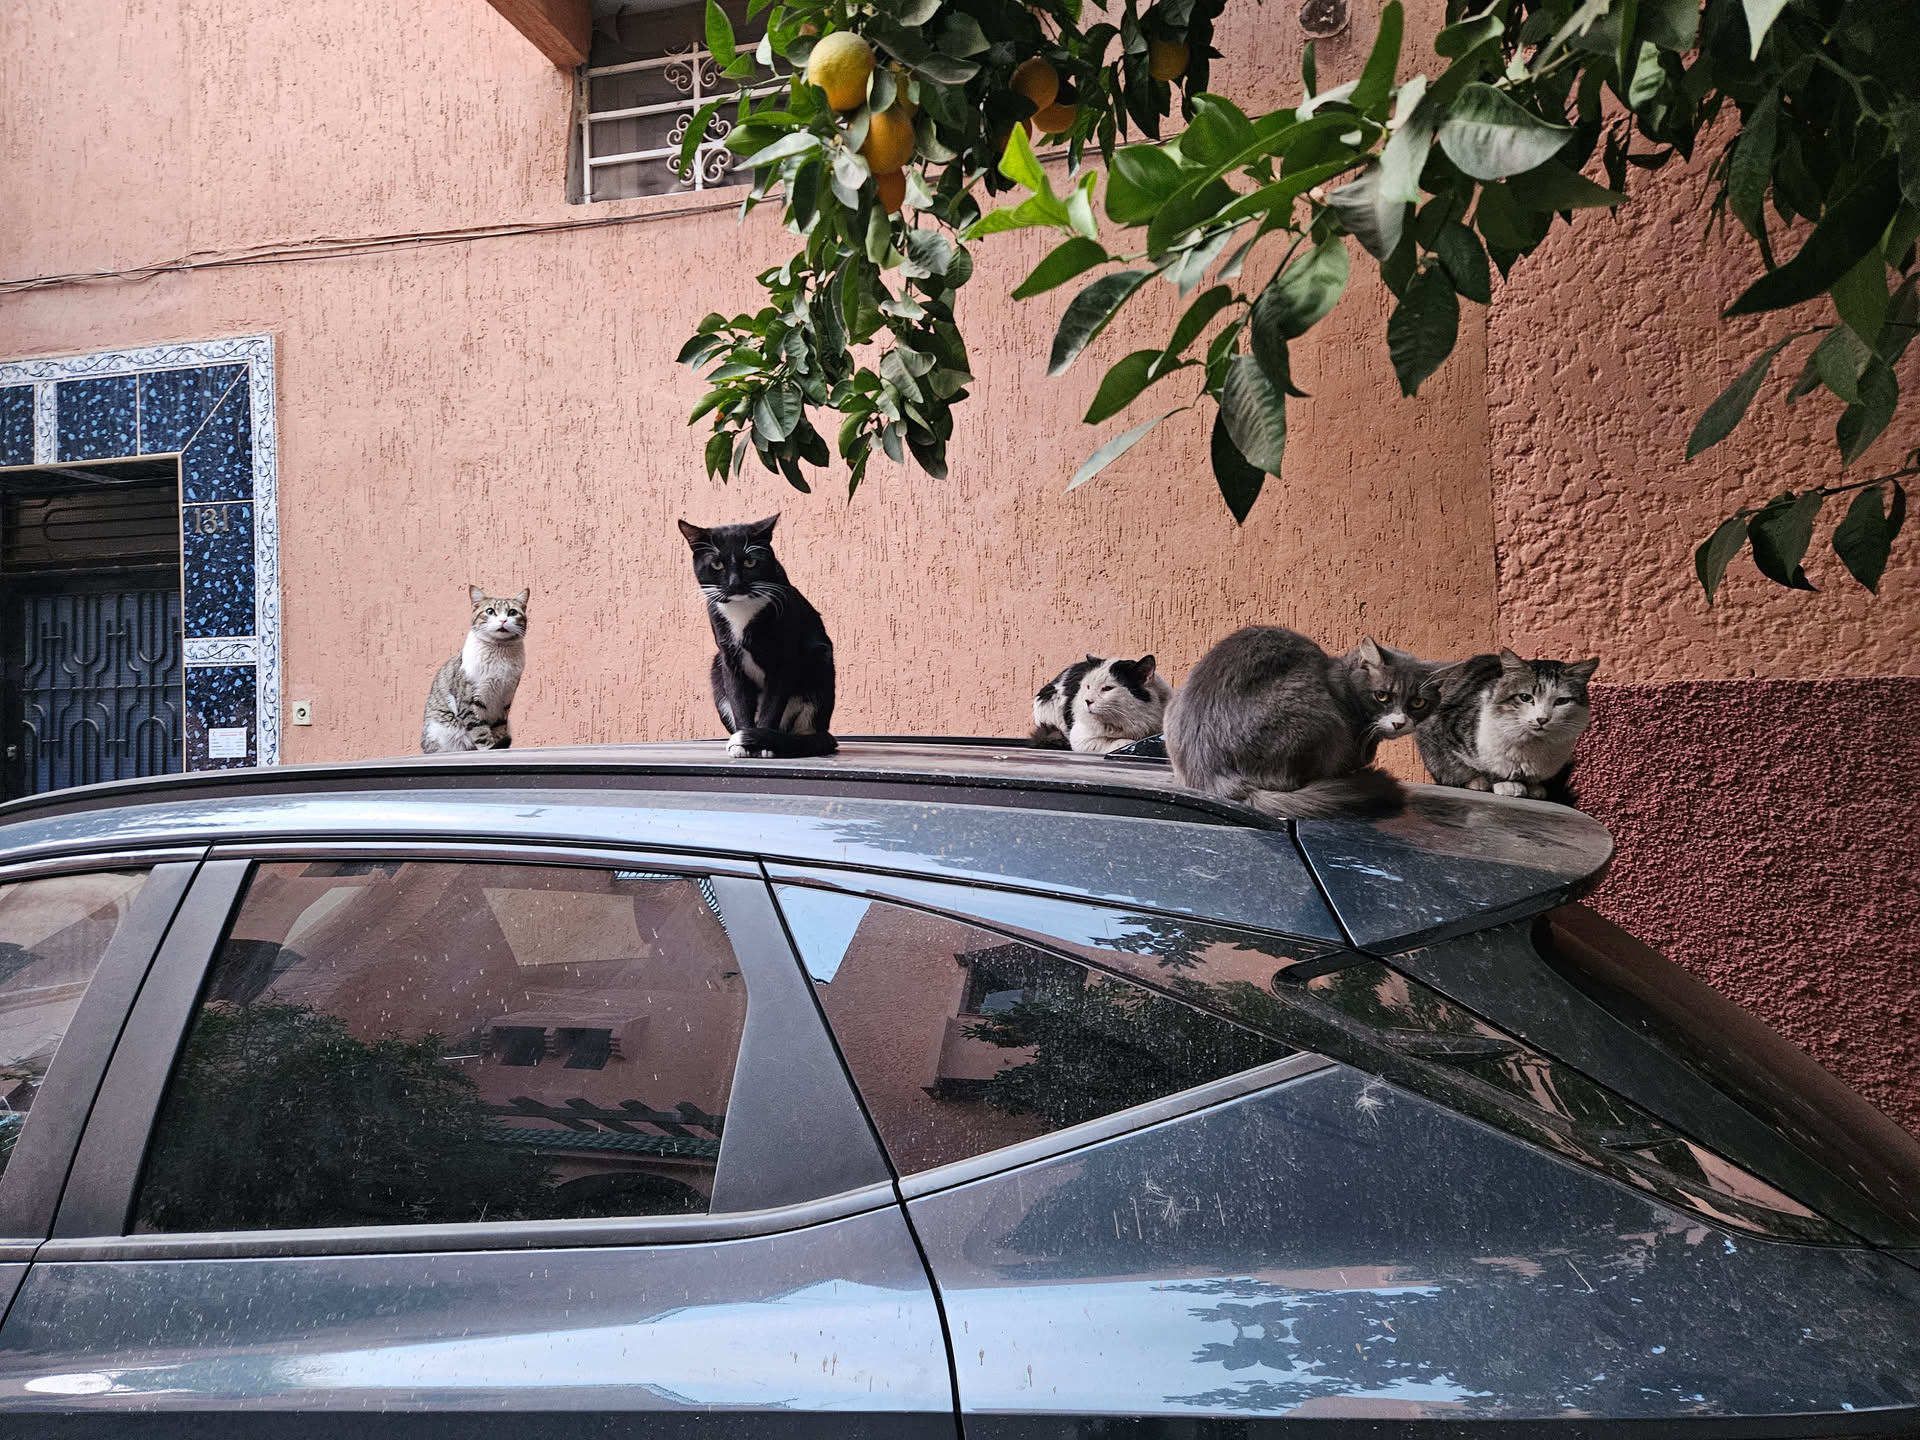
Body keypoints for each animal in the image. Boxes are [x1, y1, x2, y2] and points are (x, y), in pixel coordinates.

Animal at [420, 585, 529, 753]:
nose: (503, 620)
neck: (499, 651)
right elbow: (480, 732)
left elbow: (499, 729)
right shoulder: (470, 701)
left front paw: (499, 747)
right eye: (490, 611)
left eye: (512, 612)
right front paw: (490, 748)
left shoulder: (504, 700)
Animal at [678, 514, 837, 759]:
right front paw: (742, 745)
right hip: (716, 666)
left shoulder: (784, 658)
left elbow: (773, 704)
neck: (742, 609)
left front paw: (762, 743)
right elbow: (739, 702)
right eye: (717, 564)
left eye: (750, 562)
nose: (735, 584)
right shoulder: (729, 659)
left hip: (820, 662)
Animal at [1417, 648, 1599, 800]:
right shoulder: (1448, 728)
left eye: (1562, 701)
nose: (1542, 719)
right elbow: (1484, 766)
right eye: (1525, 697)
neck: (1532, 746)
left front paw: (1534, 787)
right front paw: (1506, 784)